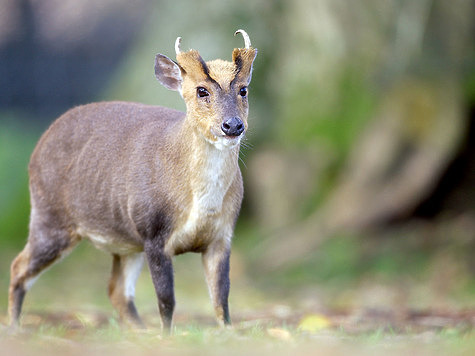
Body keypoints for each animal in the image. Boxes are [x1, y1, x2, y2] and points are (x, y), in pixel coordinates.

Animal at [7, 28, 258, 334]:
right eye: (202, 91)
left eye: (243, 89)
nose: (232, 125)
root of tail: (39, 146)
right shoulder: (153, 231)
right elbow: (167, 299)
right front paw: (166, 337)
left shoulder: (221, 236)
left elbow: (221, 298)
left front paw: (227, 334)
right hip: (50, 217)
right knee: (18, 266)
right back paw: (14, 327)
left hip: (125, 242)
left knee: (116, 290)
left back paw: (139, 331)